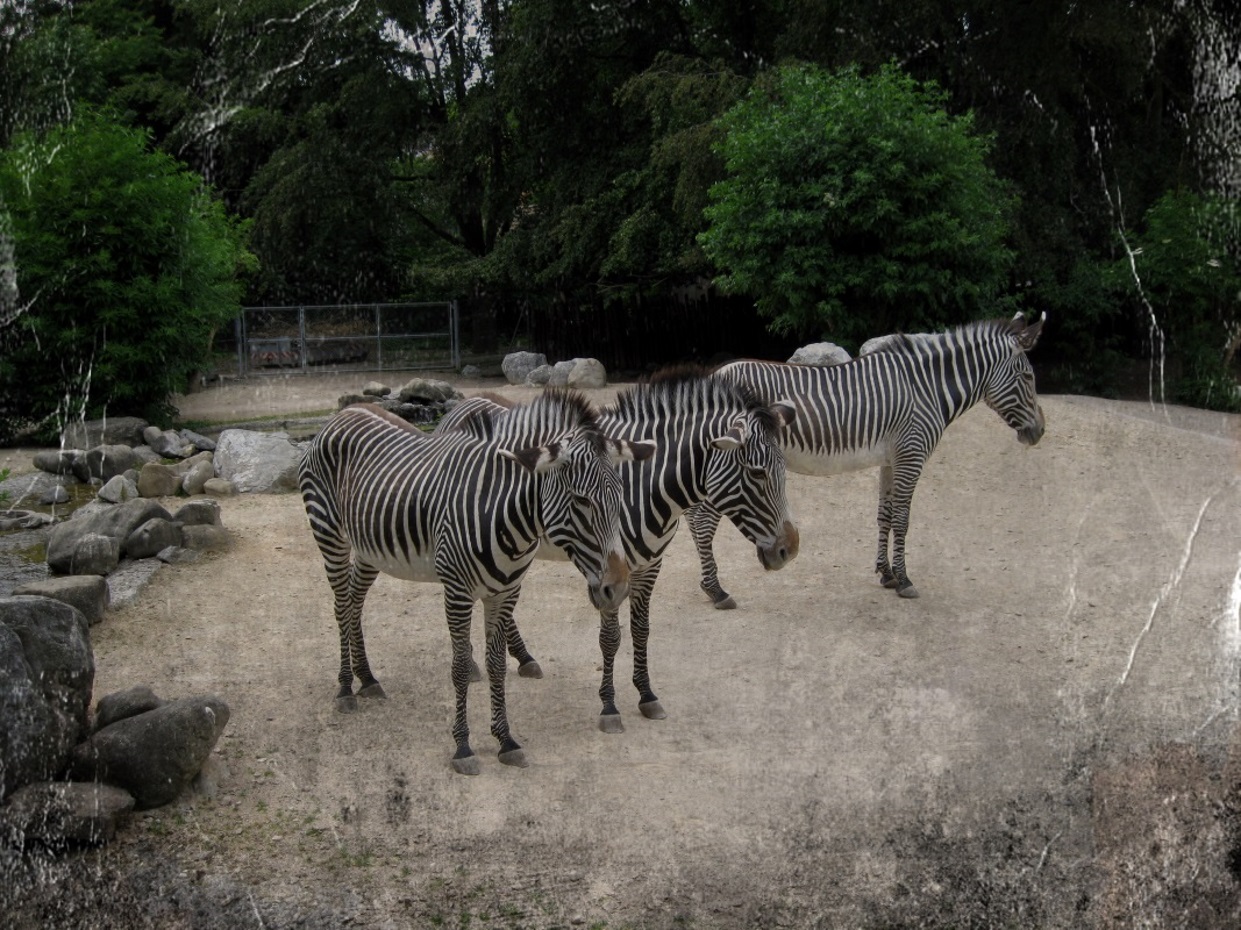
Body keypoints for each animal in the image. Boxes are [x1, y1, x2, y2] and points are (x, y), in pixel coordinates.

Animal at [300, 387, 655, 774]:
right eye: (580, 501)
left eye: (620, 495)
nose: (618, 589)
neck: (505, 514)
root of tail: (343, 414)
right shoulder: (457, 592)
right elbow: (458, 667)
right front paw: (463, 747)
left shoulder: (505, 592)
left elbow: (497, 665)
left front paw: (505, 740)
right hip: (329, 534)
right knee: (341, 604)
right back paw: (345, 688)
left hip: (369, 548)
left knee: (355, 600)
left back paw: (366, 678)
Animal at [441, 367, 799, 730]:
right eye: (757, 473)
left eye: (783, 469)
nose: (791, 550)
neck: (645, 484)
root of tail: (461, 405)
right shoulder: (610, 571)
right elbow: (610, 637)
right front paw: (609, 706)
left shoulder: (649, 565)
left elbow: (641, 630)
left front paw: (647, 695)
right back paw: (476, 664)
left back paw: (524, 657)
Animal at [689, 311, 1047, 603]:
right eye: (1028, 378)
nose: (1040, 432)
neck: (926, 389)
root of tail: (714, 374)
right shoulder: (911, 456)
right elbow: (902, 520)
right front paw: (904, 579)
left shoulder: (892, 460)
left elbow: (884, 515)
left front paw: (885, 573)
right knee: (701, 521)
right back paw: (715, 590)